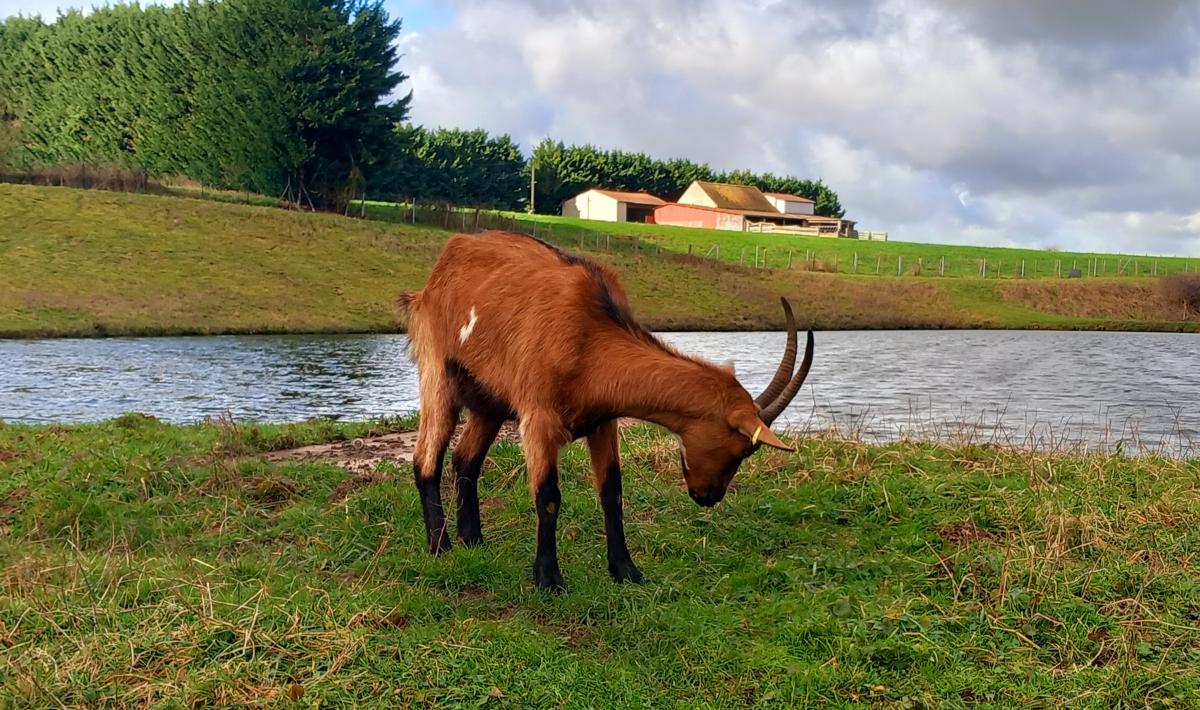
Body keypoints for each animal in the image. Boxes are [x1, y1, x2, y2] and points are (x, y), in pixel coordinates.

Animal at [397, 230, 813, 591]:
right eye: (743, 448)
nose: (707, 496)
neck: (590, 336)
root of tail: (434, 277)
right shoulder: (539, 419)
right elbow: (548, 496)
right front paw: (549, 579)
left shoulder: (602, 420)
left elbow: (612, 491)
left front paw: (626, 570)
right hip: (438, 373)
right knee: (426, 459)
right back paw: (440, 546)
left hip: (490, 403)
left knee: (465, 459)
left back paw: (474, 541)